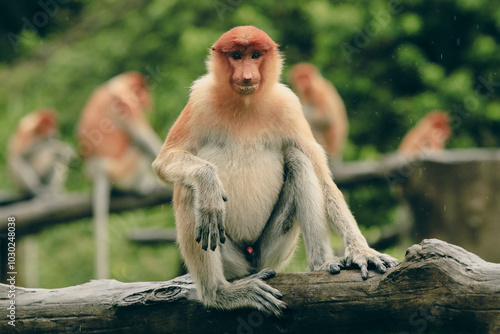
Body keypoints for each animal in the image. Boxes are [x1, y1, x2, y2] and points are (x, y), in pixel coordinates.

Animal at [152, 26, 394, 316]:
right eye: (236, 56)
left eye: (255, 55)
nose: (247, 76)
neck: (245, 102)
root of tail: (251, 260)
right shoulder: (199, 101)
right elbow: (165, 160)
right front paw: (209, 185)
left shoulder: (289, 106)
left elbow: (323, 179)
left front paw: (363, 252)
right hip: (230, 258)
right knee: (188, 188)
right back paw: (219, 292)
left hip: (272, 252)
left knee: (299, 159)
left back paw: (321, 264)